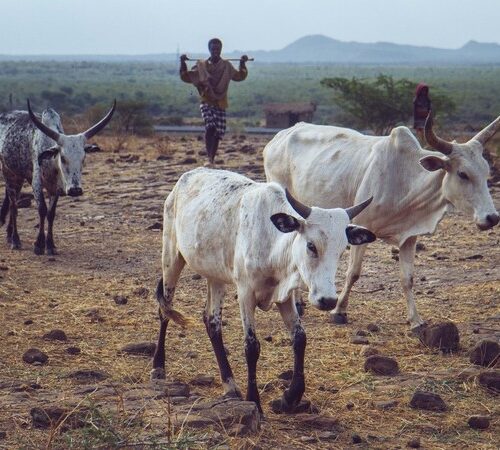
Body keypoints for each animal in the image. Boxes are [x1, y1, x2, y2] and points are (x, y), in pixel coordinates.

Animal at [152, 169, 376, 414]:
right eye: (311, 245)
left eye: (342, 249)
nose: (328, 300)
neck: (272, 242)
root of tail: (188, 176)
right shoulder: (245, 294)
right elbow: (252, 346)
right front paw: (255, 402)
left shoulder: (285, 297)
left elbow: (299, 338)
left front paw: (290, 397)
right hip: (171, 257)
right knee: (165, 310)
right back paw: (158, 366)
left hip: (216, 277)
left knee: (212, 321)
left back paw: (230, 385)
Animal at [264, 112, 498, 330]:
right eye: (463, 174)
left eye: (487, 172)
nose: (492, 218)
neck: (405, 181)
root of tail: (279, 137)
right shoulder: (362, 227)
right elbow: (353, 273)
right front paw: (339, 311)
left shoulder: (409, 237)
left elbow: (408, 279)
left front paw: (415, 320)